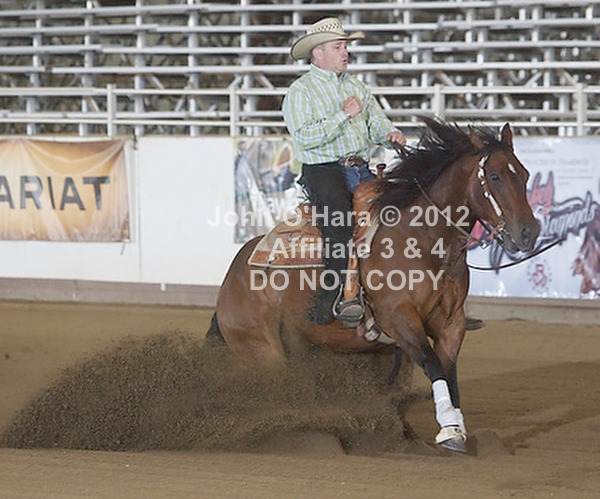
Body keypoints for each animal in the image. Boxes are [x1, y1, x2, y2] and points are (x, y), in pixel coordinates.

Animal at [206, 117, 540, 452]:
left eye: (524, 174)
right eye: (495, 176)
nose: (529, 232)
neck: (422, 241)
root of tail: (233, 276)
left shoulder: (452, 324)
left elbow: (448, 373)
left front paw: (455, 428)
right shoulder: (399, 319)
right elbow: (432, 365)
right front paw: (449, 431)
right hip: (263, 350)